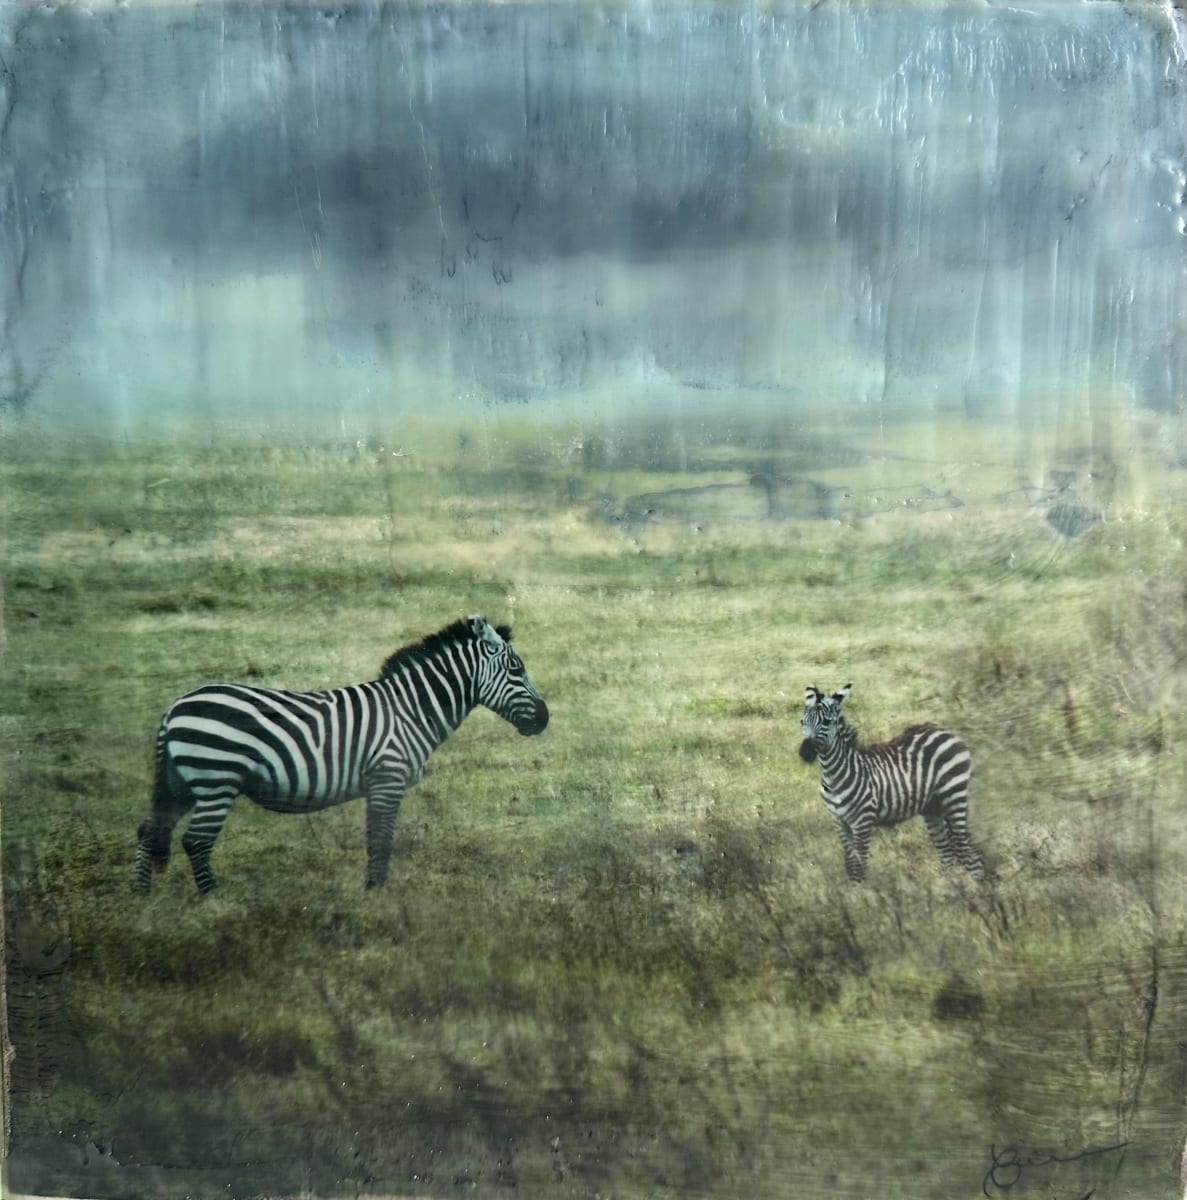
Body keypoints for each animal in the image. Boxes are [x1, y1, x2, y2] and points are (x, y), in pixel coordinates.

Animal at [135, 615, 548, 895]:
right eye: (517, 669)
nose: (545, 719)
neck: (411, 709)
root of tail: (174, 707)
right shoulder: (387, 777)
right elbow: (380, 838)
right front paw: (376, 893)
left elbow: (376, 837)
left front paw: (373, 890)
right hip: (216, 778)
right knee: (196, 841)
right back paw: (214, 899)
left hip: (182, 782)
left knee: (149, 830)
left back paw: (143, 898)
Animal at [798, 683, 983, 882]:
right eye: (802, 722)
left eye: (826, 722)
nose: (805, 753)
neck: (834, 777)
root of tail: (945, 731)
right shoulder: (839, 821)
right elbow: (850, 864)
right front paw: (852, 890)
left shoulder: (863, 821)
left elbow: (859, 866)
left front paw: (861, 891)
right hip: (933, 807)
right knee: (947, 853)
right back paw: (950, 887)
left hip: (954, 796)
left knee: (967, 852)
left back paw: (972, 887)